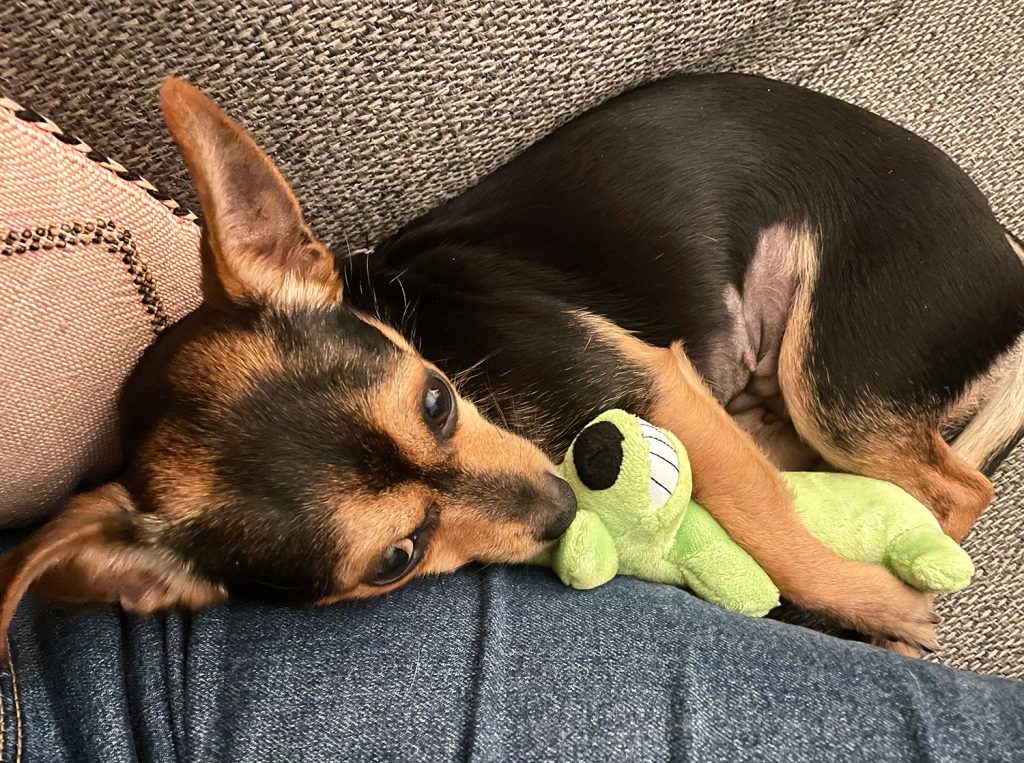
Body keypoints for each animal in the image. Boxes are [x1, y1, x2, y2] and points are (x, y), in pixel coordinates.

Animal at [2, 72, 1024, 655]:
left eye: (436, 401)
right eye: (397, 559)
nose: (566, 501)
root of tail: (1007, 248)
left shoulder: (652, 382)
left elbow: (773, 532)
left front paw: (874, 603)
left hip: (836, 378)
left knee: (955, 485)